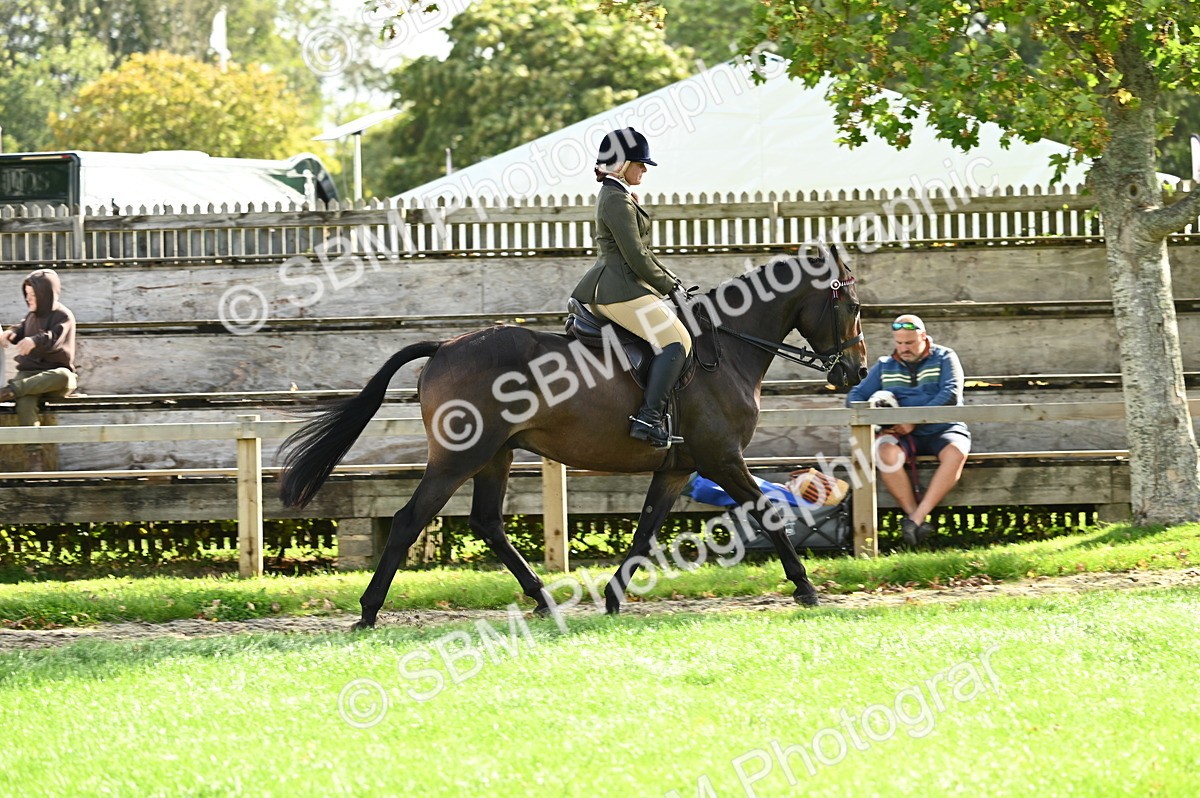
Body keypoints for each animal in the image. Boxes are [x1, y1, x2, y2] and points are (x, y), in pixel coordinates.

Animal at [279, 247, 868, 629]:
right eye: (853, 307)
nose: (856, 372)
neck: (725, 348)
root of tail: (445, 345)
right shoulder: (723, 460)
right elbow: (768, 514)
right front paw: (806, 588)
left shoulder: (678, 468)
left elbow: (645, 530)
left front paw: (611, 597)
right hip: (459, 458)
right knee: (409, 520)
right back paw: (368, 613)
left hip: (495, 455)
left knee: (487, 522)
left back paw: (542, 599)